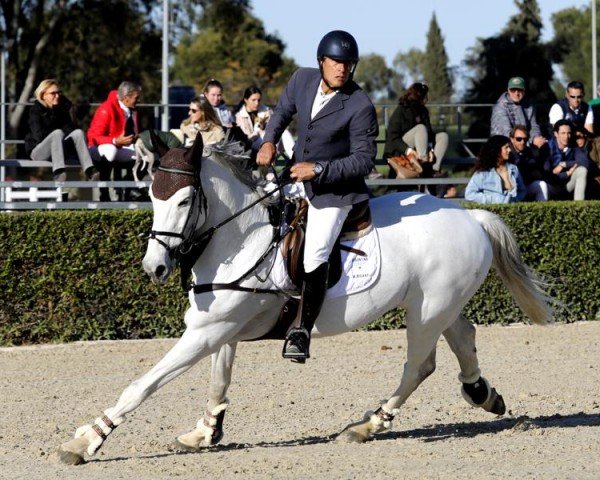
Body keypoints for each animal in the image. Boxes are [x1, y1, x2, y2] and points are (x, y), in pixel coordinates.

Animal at [56, 136, 552, 464]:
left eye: (182, 202)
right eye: (151, 197)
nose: (153, 268)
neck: (241, 239)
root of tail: (471, 217)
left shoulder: (205, 333)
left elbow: (142, 385)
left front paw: (86, 440)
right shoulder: (221, 331)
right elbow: (219, 381)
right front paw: (205, 433)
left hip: (427, 311)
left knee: (419, 365)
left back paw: (369, 425)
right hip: (440, 305)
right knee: (463, 336)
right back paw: (483, 395)